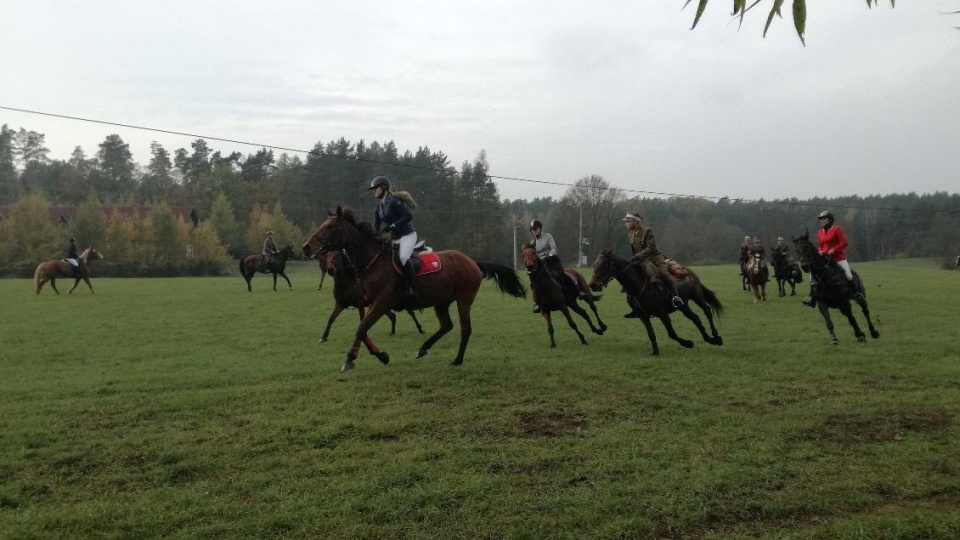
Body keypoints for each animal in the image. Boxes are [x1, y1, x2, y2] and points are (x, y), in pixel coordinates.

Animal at [302, 207, 524, 372]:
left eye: (331, 227)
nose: (306, 247)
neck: (373, 262)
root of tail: (473, 262)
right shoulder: (372, 303)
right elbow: (362, 330)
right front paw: (358, 358)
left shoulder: (381, 303)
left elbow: (361, 328)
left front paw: (375, 356)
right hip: (441, 302)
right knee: (447, 325)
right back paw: (423, 348)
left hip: (464, 300)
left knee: (465, 329)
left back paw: (457, 359)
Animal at [588, 251, 724, 356]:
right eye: (595, 264)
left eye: (604, 264)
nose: (593, 285)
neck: (638, 285)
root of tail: (688, 271)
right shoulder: (643, 316)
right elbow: (651, 334)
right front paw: (655, 352)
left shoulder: (662, 313)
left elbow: (671, 333)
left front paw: (688, 343)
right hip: (683, 305)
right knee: (695, 318)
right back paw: (709, 339)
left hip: (697, 297)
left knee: (707, 311)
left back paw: (716, 337)